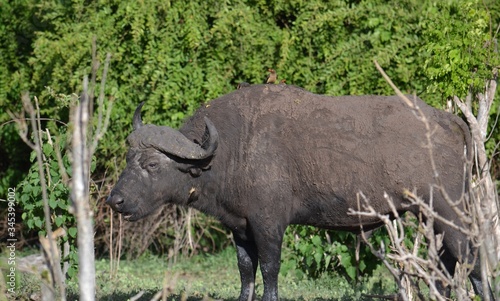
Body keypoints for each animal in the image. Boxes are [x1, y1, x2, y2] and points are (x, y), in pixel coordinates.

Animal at [108, 83, 488, 298]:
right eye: (128, 158)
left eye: (152, 164)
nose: (116, 200)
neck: (232, 150)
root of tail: (451, 122)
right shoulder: (239, 229)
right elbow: (246, 273)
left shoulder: (269, 225)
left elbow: (269, 272)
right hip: (430, 218)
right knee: (444, 269)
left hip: (452, 214)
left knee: (473, 262)